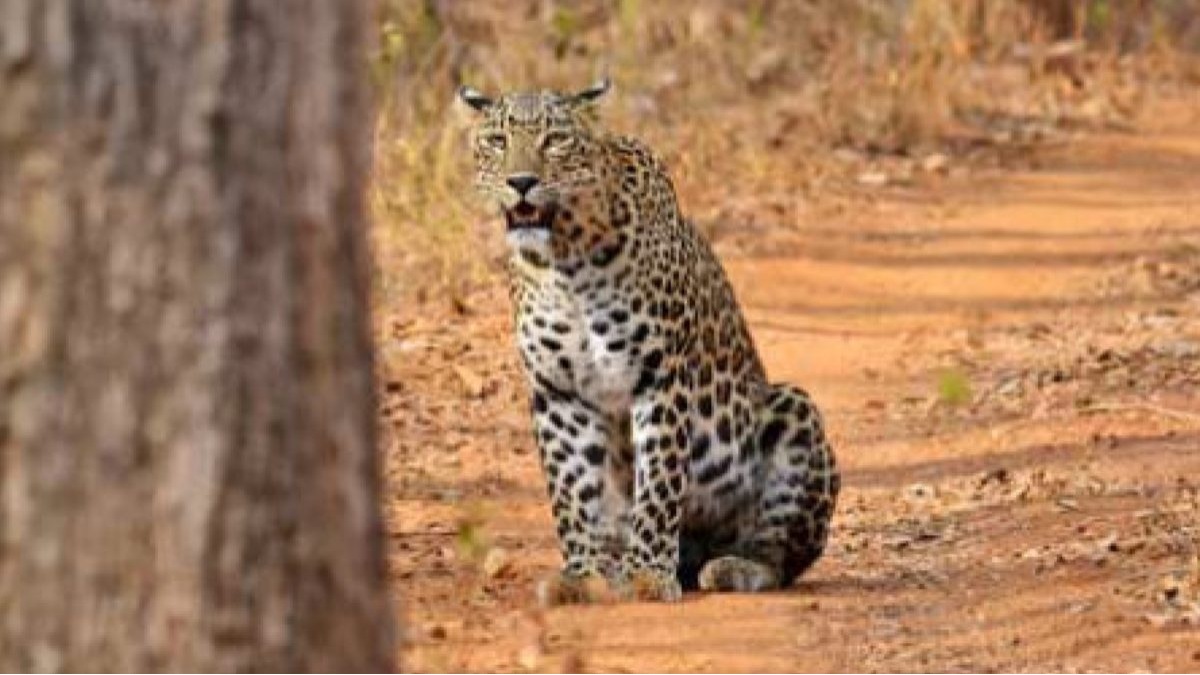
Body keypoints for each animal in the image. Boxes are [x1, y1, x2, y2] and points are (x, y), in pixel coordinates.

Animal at [459, 78, 839, 603]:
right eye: (497, 140)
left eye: (555, 140)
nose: (521, 181)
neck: (564, 260)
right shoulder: (558, 390)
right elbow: (571, 486)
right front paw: (581, 574)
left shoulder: (659, 375)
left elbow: (659, 476)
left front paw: (647, 574)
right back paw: (615, 563)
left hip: (792, 411)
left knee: (781, 552)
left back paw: (732, 567)